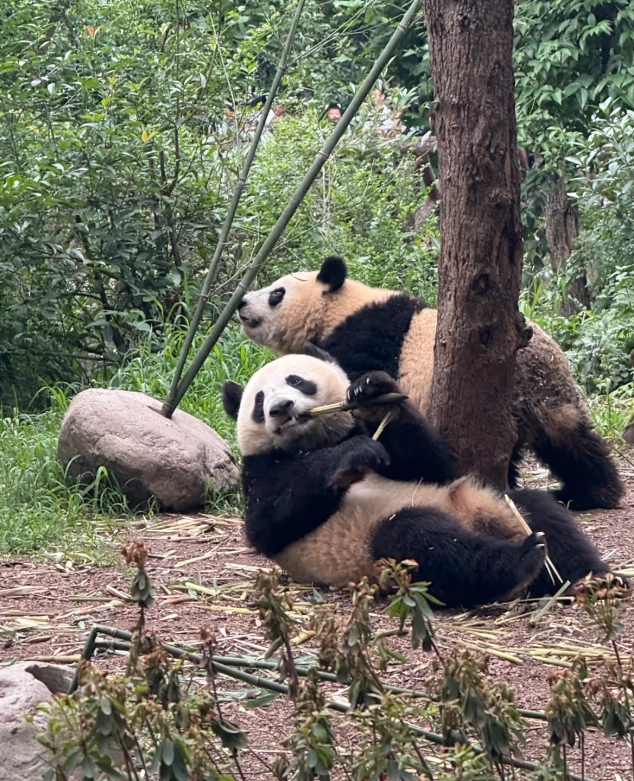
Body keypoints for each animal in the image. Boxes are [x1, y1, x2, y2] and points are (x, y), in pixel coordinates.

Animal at [222, 350, 617, 608]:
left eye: (296, 380)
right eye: (258, 401)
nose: (280, 408)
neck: (314, 440)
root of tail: (472, 519)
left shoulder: (406, 456)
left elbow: (434, 465)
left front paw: (374, 392)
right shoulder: (260, 470)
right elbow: (270, 521)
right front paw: (353, 455)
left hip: (492, 502)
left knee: (540, 511)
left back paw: (593, 579)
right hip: (374, 545)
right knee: (425, 543)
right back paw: (520, 562)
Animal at [236, 256, 624, 512]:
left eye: (276, 293)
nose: (241, 303)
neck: (337, 308)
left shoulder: (362, 338)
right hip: (547, 400)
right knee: (571, 443)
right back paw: (590, 492)